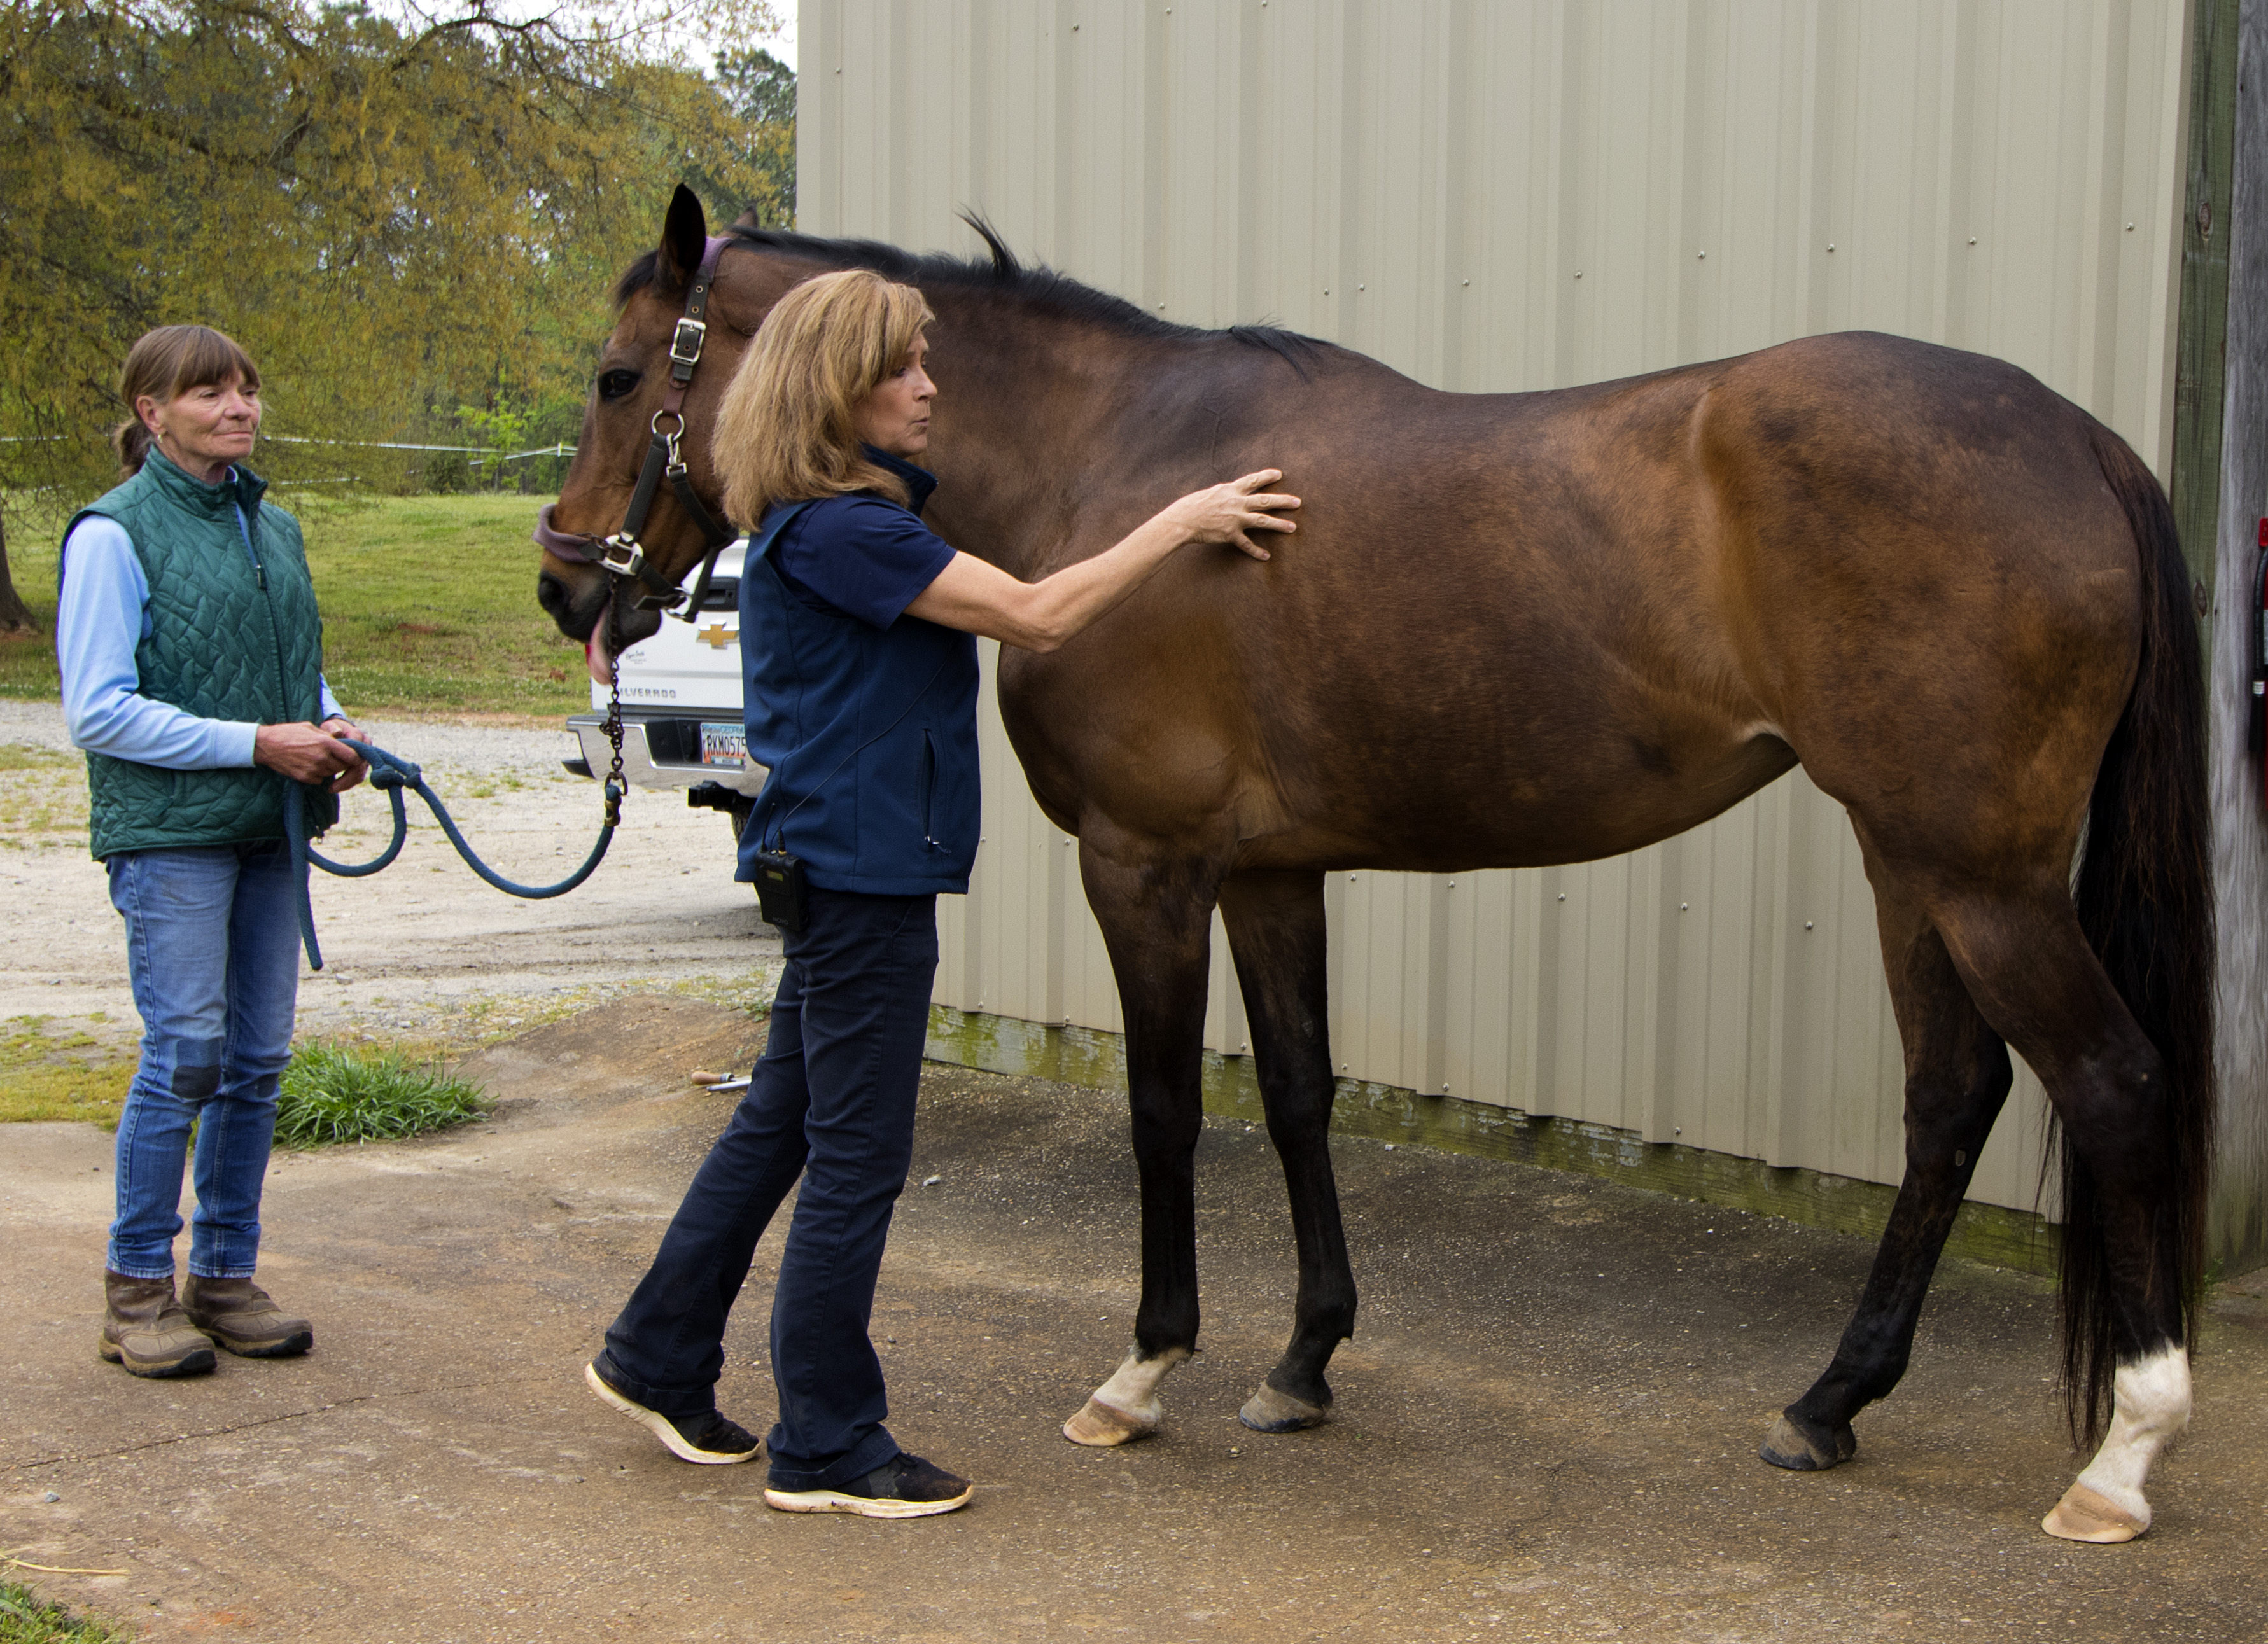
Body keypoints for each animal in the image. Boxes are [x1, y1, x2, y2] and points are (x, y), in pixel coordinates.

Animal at [536, 186, 2212, 1543]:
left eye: (619, 374)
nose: (567, 584)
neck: (1109, 463)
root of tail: (2080, 438)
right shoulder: (1273, 874)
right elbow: (1296, 1095)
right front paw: (1301, 1363)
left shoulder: (1146, 867)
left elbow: (1164, 1110)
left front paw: (1143, 1369)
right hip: (1910, 856)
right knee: (1953, 1101)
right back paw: (1830, 1402)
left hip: (1976, 870)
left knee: (2113, 1081)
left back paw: (2123, 1459)